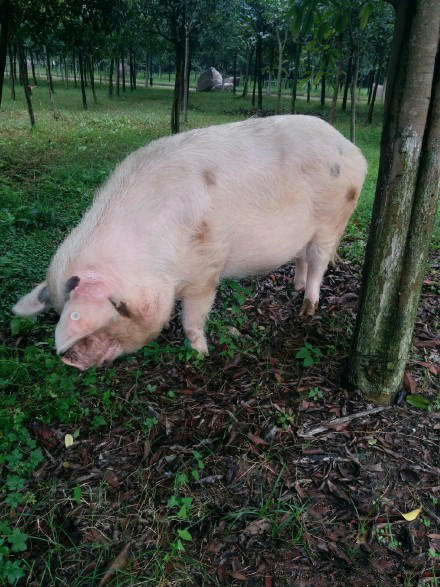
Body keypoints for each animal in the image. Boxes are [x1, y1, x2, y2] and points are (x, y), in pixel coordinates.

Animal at [11, 114, 368, 370]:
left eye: (115, 308)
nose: (71, 360)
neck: (149, 257)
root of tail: (354, 150)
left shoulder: (205, 270)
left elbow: (193, 319)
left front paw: (199, 355)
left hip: (334, 217)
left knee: (319, 262)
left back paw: (306, 309)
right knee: (303, 257)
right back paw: (295, 287)